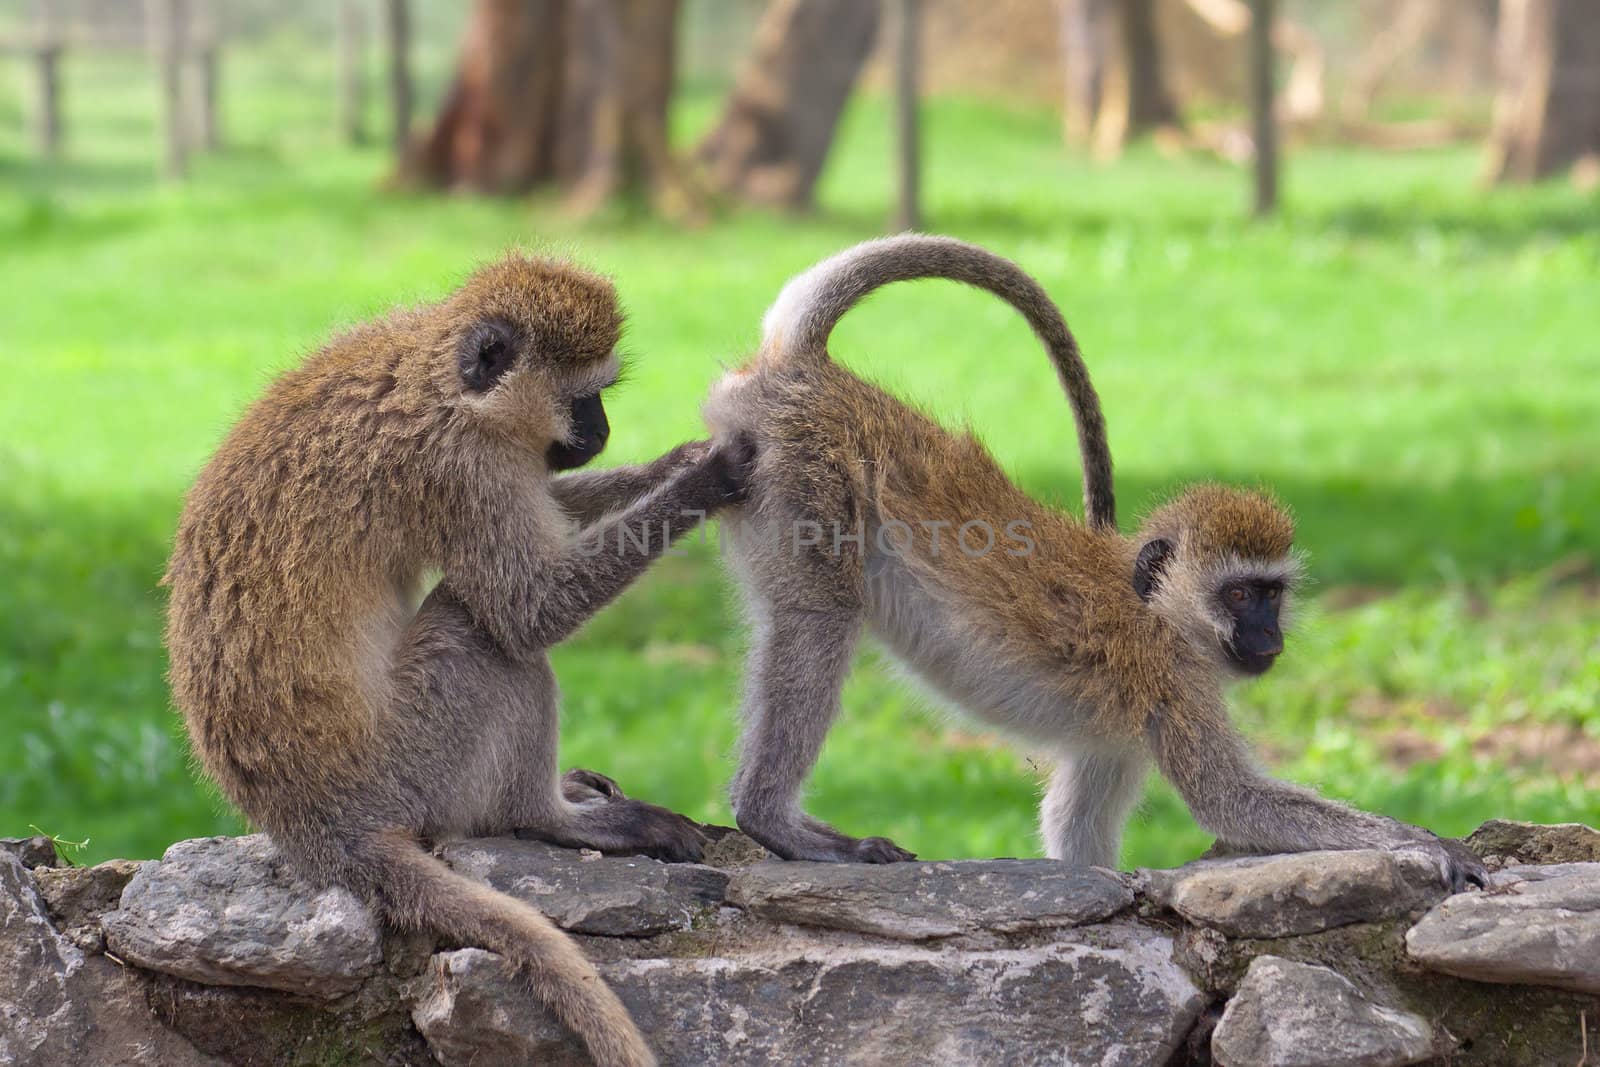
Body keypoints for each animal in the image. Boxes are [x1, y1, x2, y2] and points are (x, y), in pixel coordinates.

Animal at [165, 254, 752, 1062]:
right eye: (585, 397)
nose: (602, 431)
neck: (437, 377)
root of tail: (318, 826)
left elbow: (550, 510)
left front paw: (673, 461)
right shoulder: (461, 467)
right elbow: (529, 610)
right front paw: (706, 476)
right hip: (415, 761)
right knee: (484, 636)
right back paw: (551, 816)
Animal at [707, 235, 1478, 895]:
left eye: (1271, 594)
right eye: (1238, 596)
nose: (1270, 636)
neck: (1159, 610)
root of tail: (810, 372)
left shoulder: (1119, 737)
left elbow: (1076, 825)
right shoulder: (1172, 680)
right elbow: (1230, 801)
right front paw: (1424, 843)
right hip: (808, 478)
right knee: (821, 615)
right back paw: (770, 818)